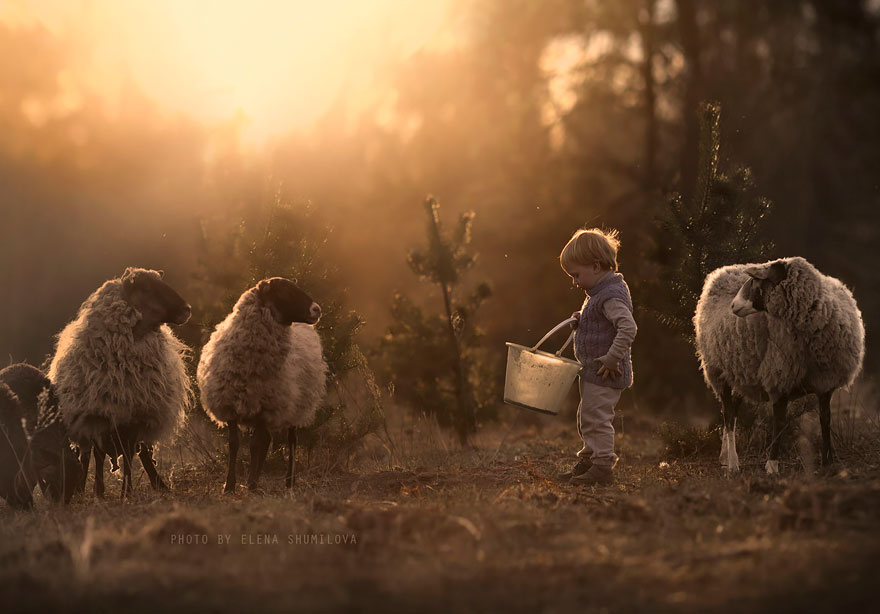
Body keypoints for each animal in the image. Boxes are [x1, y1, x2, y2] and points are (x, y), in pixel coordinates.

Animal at [48, 268, 192, 498]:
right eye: (147, 287)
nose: (187, 309)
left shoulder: (136, 417)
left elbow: (129, 455)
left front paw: (127, 491)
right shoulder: (99, 415)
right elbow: (97, 456)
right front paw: (98, 491)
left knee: (142, 453)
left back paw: (159, 484)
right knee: (85, 454)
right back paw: (80, 487)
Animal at [196, 280, 326, 496]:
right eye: (284, 291)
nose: (317, 309)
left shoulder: (265, 407)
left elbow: (255, 445)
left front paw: (250, 483)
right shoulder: (231, 406)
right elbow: (235, 444)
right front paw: (230, 485)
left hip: (294, 405)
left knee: (290, 439)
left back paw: (288, 482)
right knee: (266, 440)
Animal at [696, 255, 868, 476]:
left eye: (755, 283)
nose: (733, 306)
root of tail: (721, 272)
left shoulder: (825, 383)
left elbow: (825, 420)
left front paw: (828, 462)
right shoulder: (779, 378)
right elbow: (779, 422)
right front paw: (772, 465)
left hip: (742, 374)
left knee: (732, 412)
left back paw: (725, 457)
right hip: (718, 371)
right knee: (728, 415)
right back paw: (733, 464)